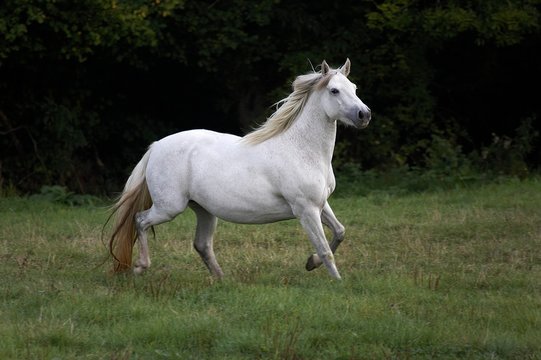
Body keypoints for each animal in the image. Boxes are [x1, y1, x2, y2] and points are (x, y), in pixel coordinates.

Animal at [108, 59, 372, 280]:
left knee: (201, 244)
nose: (364, 114)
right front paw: (337, 282)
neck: (301, 150)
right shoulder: (306, 209)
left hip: (204, 210)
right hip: (169, 207)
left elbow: (340, 231)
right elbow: (326, 249)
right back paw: (141, 267)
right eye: (334, 90)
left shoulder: (320, 204)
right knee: (140, 220)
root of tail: (156, 147)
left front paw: (311, 263)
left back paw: (222, 280)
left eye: (354, 87)